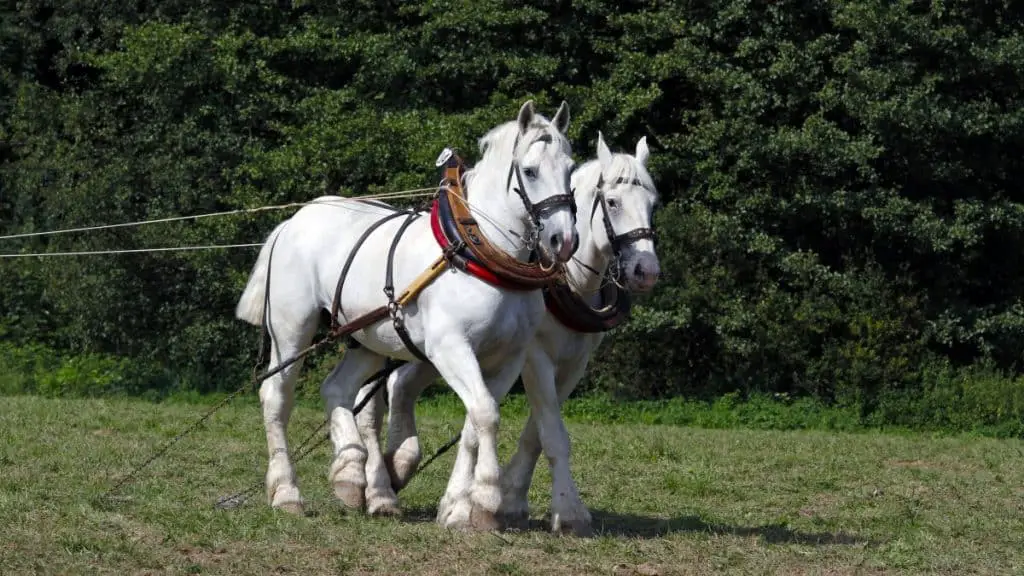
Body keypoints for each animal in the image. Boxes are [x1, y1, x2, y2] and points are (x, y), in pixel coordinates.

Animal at [234, 99, 581, 528]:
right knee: (277, 398)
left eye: (570, 168)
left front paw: (463, 505)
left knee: (336, 388)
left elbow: (476, 420)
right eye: (530, 171)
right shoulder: (451, 347)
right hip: (291, 330)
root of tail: (292, 221)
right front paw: (485, 499)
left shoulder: (508, 357)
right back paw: (287, 492)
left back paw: (351, 471)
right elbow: (486, 413)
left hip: (366, 338)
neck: (482, 254)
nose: (564, 240)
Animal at [360, 131, 663, 532]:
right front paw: (565, 510)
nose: (647, 270)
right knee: (369, 405)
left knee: (401, 386)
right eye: (612, 202)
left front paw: (506, 498)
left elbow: (535, 431)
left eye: (653, 204)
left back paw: (399, 465)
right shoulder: (534, 357)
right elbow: (550, 432)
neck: (566, 282)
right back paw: (372, 487)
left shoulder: (573, 363)